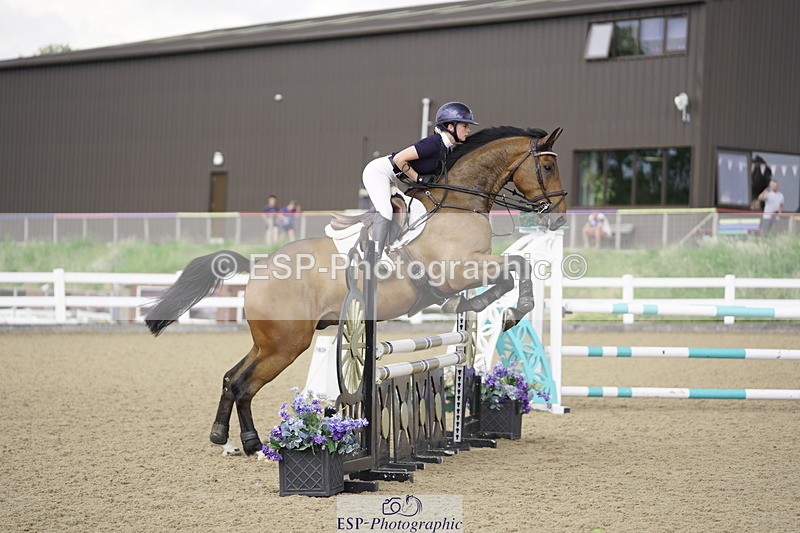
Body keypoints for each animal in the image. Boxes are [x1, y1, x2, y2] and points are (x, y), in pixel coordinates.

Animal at [145, 125, 567, 455]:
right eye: (547, 166)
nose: (561, 218)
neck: (459, 204)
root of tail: (259, 268)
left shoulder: (469, 267)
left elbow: (511, 271)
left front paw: (482, 306)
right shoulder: (457, 270)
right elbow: (516, 266)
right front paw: (509, 311)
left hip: (269, 343)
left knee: (231, 378)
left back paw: (226, 437)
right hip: (286, 345)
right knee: (244, 385)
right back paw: (250, 442)